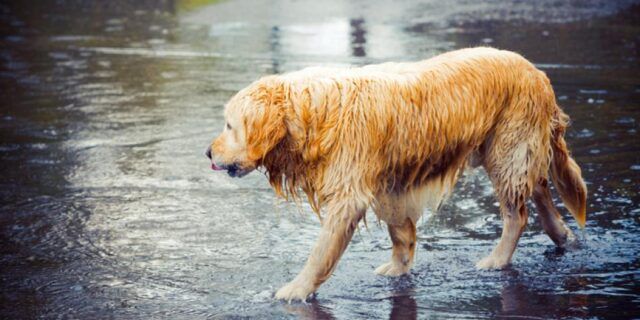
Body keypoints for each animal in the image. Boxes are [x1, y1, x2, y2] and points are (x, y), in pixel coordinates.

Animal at [208, 46, 588, 302]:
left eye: (229, 125)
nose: (208, 153)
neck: (315, 115)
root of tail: (538, 74)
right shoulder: (390, 184)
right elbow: (401, 232)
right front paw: (398, 268)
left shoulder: (350, 191)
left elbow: (320, 252)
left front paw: (296, 288)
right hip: (510, 149)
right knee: (539, 187)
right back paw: (563, 235)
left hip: (508, 148)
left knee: (517, 213)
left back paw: (497, 259)